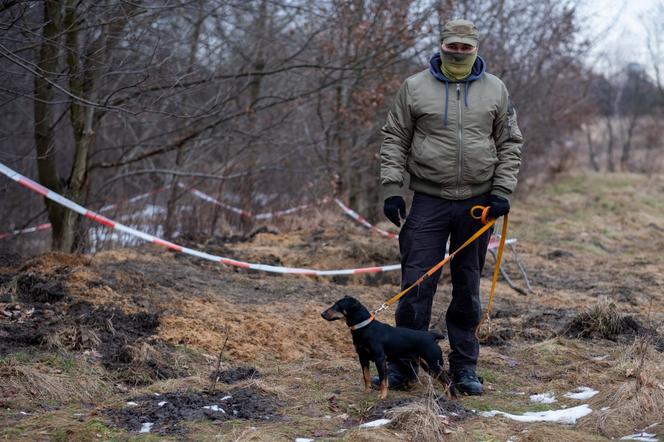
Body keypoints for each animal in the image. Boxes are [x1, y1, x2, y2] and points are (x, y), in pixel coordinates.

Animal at [320, 296, 454, 398]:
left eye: (338, 305)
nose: (322, 314)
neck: (365, 327)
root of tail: (432, 336)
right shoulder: (363, 358)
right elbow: (366, 376)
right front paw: (367, 392)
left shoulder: (380, 359)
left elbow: (383, 380)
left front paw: (382, 396)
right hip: (428, 366)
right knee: (445, 382)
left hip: (434, 364)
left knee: (449, 381)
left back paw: (452, 400)